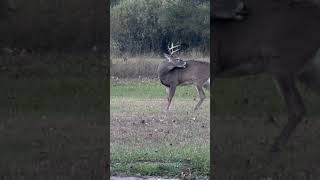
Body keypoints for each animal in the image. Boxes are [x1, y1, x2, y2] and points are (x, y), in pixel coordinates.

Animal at [214, 0, 320, 152]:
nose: (241, 8)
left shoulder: (214, 64)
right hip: (306, 69)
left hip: (282, 63)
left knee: (297, 109)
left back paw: (273, 150)